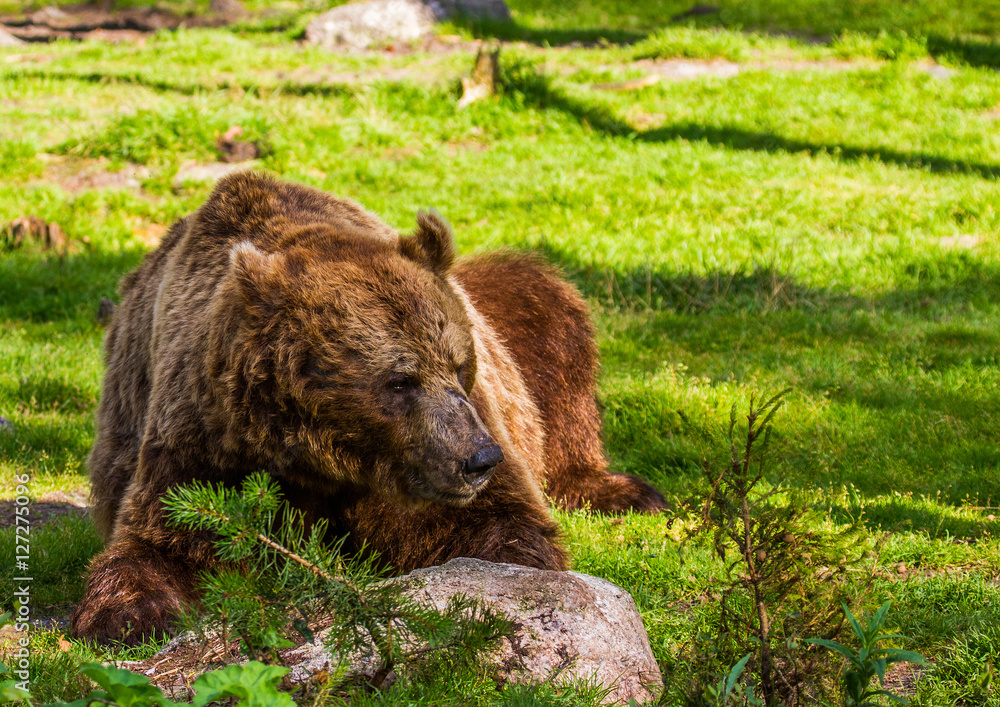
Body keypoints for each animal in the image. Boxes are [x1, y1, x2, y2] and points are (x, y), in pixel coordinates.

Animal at [70, 171, 666, 645]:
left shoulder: (425, 463)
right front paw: (128, 613)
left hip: (516, 338)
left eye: (459, 366)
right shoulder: (207, 437)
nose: (479, 459)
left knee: (550, 320)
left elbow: (497, 522)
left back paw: (621, 490)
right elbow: (166, 537)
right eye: (400, 380)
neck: (318, 455)